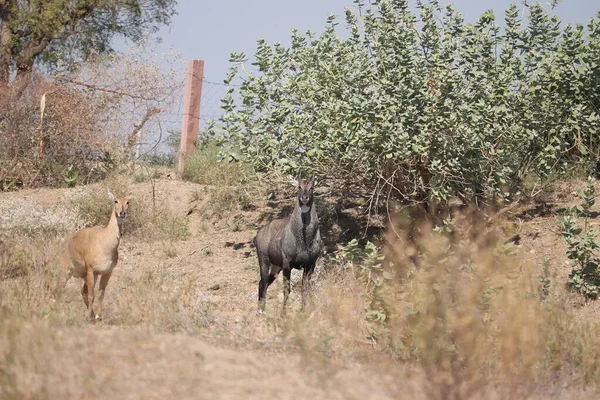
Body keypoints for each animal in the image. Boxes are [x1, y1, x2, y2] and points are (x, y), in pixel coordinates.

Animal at [256, 171, 326, 312]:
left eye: (312, 187)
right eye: (299, 186)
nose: (304, 198)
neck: (304, 239)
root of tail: (259, 233)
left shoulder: (310, 265)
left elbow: (305, 288)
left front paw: (303, 311)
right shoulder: (287, 265)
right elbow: (286, 290)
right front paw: (284, 314)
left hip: (275, 267)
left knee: (262, 283)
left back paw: (261, 310)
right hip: (264, 261)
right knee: (263, 282)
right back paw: (261, 311)